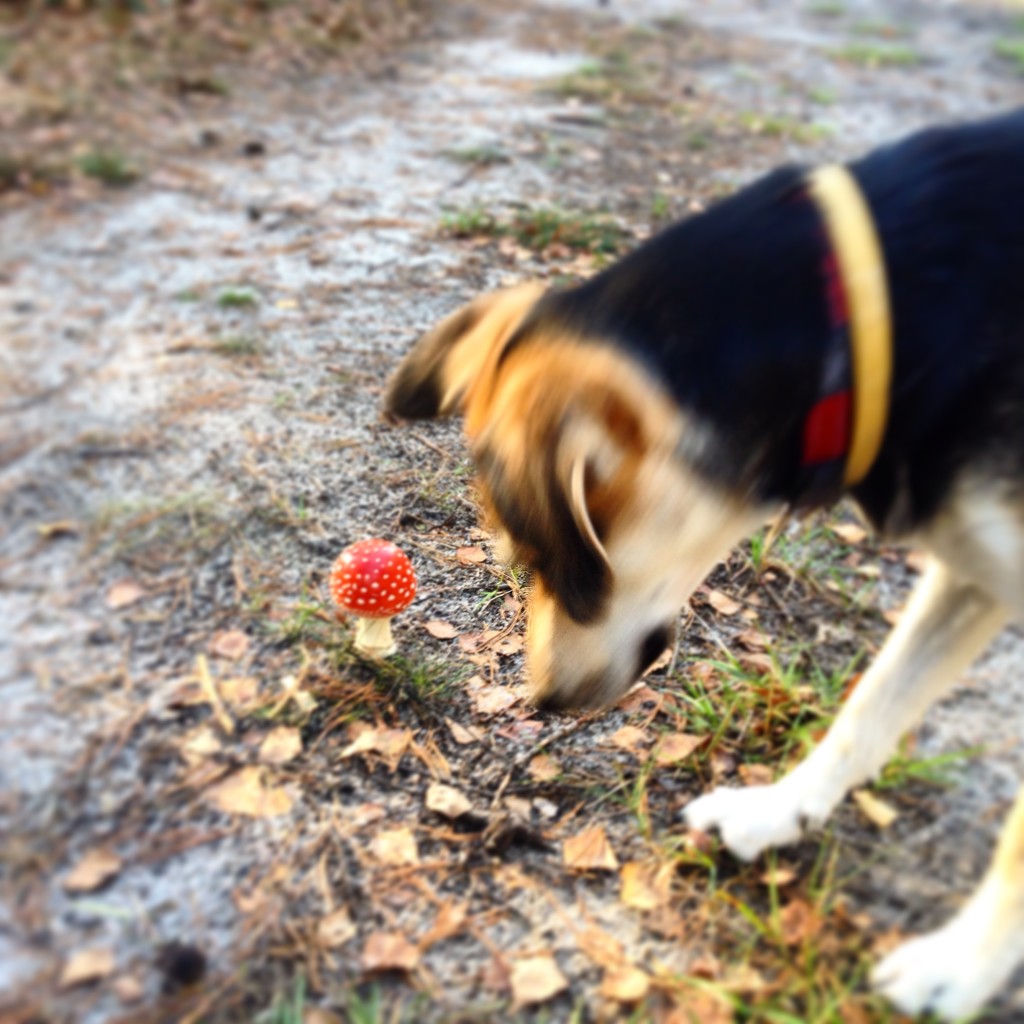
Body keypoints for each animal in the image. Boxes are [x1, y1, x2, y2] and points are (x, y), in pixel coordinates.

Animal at [385, 108, 1024, 1019]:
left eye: (550, 558)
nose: (541, 703)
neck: (874, 320)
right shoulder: (969, 569)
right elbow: (868, 709)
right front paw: (774, 815)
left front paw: (958, 968)